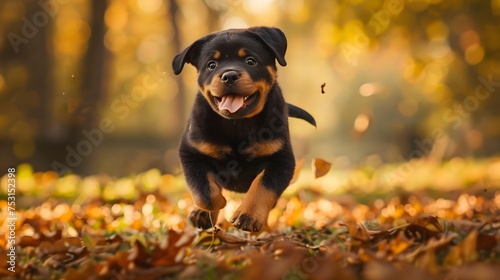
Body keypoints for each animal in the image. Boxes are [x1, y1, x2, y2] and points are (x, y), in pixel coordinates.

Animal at [172, 25, 312, 232]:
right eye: (211, 65)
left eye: (250, 61)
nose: (229, 75)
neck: (237, 124)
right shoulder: (191, 153)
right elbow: (205, 192)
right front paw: (214, 206)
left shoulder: (281, 159)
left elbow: (263, 185)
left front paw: (248, 215)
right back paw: (200, 214)